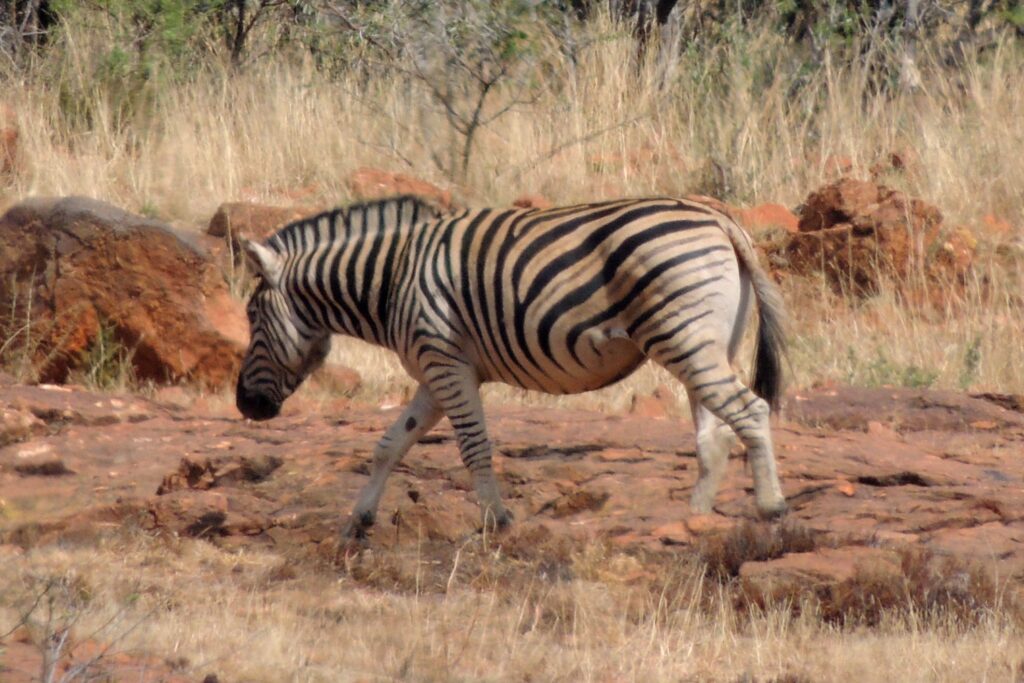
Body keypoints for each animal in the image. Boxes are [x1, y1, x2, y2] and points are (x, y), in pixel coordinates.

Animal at [236, 195, 789, 538]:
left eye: (251, 316)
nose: (246, 406)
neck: (390, 278)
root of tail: (717, 219)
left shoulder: (446, 362)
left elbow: (473, 445)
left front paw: (494, 521)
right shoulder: (435, 374)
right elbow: (389, 445)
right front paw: (359, 520)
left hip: (683, 336)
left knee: (751, 411)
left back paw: (771, 506)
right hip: (708, 343)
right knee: (714, 434)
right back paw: (692, 520)